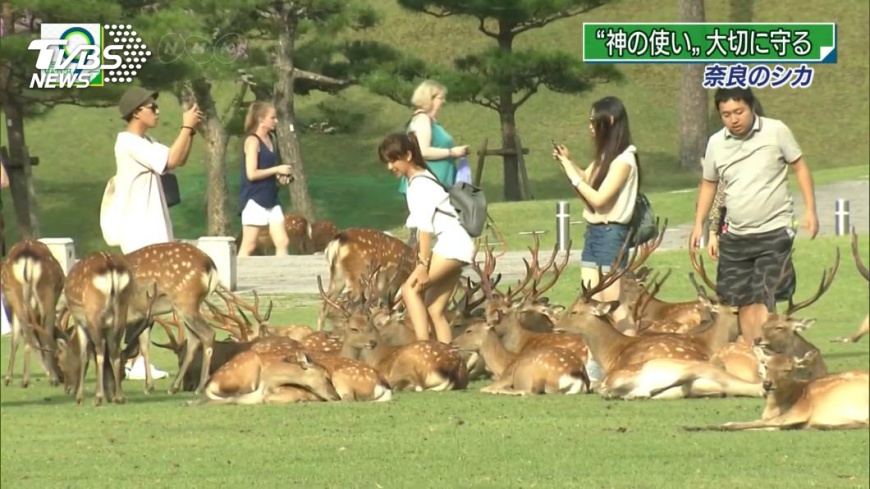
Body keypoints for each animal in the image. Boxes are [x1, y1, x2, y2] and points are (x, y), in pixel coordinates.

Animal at [1, 239, 66, 388]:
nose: (63, 377)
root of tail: (27, 257)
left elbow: (15, 339)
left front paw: (8, 378)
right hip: (46, 293)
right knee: (45, 331)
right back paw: (50, 379)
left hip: (16, 293)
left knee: (25, 329)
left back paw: (23, 379)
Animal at [452, 322, 588, 396]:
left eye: (469, 330)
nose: (452, 343)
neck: (503, 365)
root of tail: (578, 378)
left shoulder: (506, 376)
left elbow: (483, 388)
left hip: (537, 373)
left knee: (530, 391)